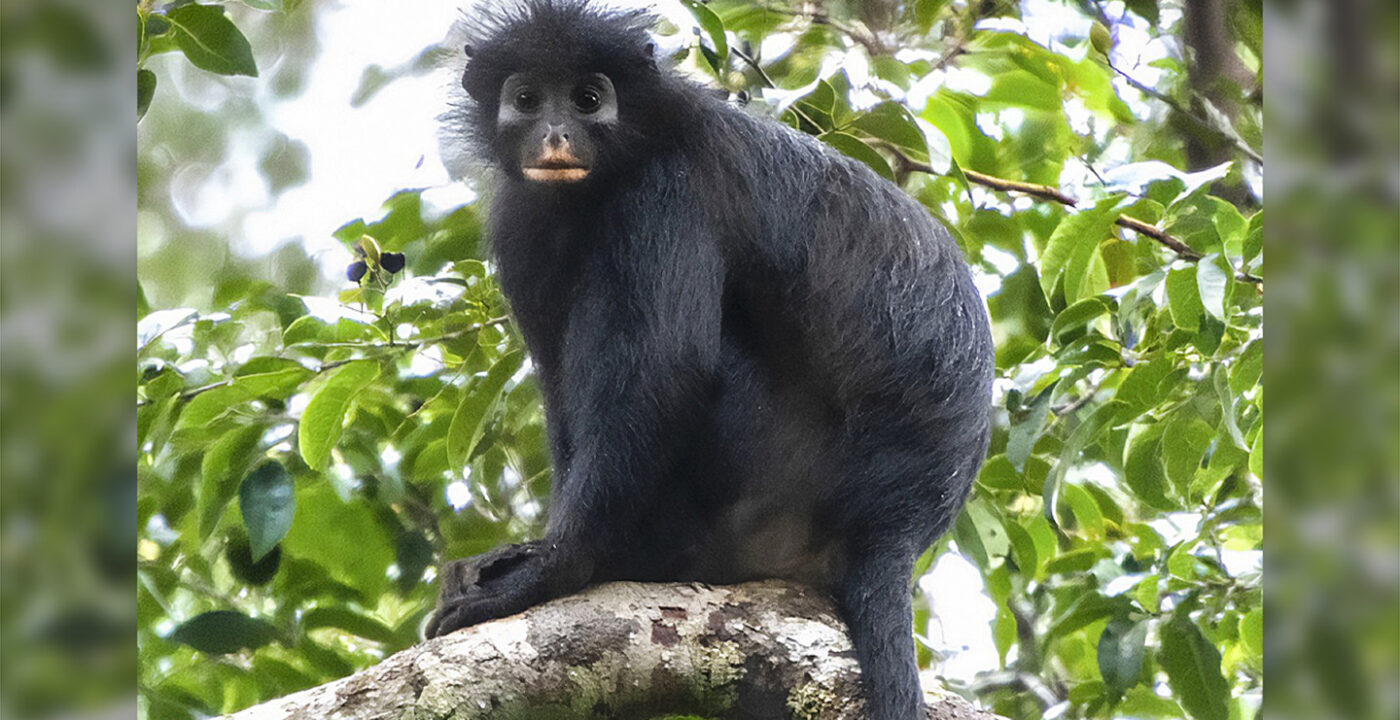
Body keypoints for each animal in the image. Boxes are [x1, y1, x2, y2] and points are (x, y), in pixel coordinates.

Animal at [426, 2, 993, 718]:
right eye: (526, 100)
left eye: (589, 100)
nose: (555, 134)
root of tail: (898, 525)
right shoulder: (520, 219)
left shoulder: (666, 189)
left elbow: (667, 371)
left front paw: (559, 567)